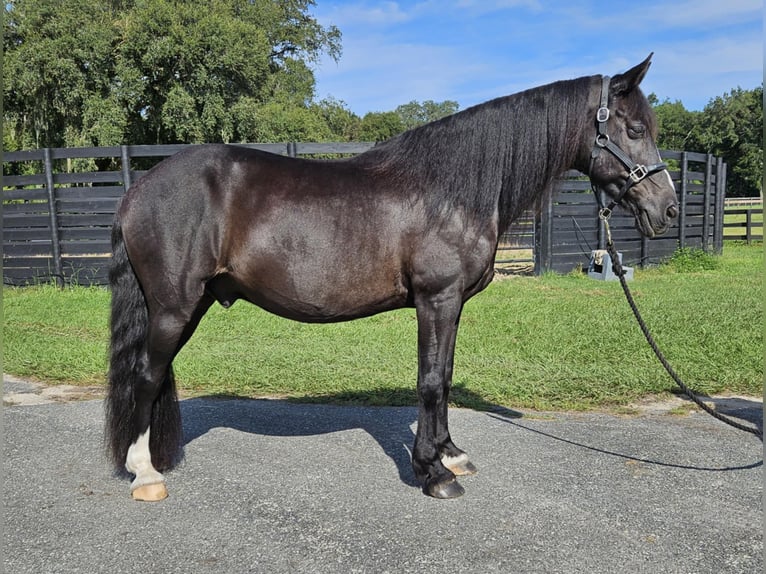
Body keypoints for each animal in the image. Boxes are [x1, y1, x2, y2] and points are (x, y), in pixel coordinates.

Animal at [106, 56, 680, 502]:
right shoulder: (435, 299)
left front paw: (451, 454)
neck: (452, 191)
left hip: (193, 304)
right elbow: (428, 383)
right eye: (634, 130)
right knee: (146, 375)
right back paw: (146, 474)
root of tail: (139, 189)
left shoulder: (453, 304)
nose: (668, 209)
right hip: (174, 307)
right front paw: (432, 473)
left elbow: (444, 376)